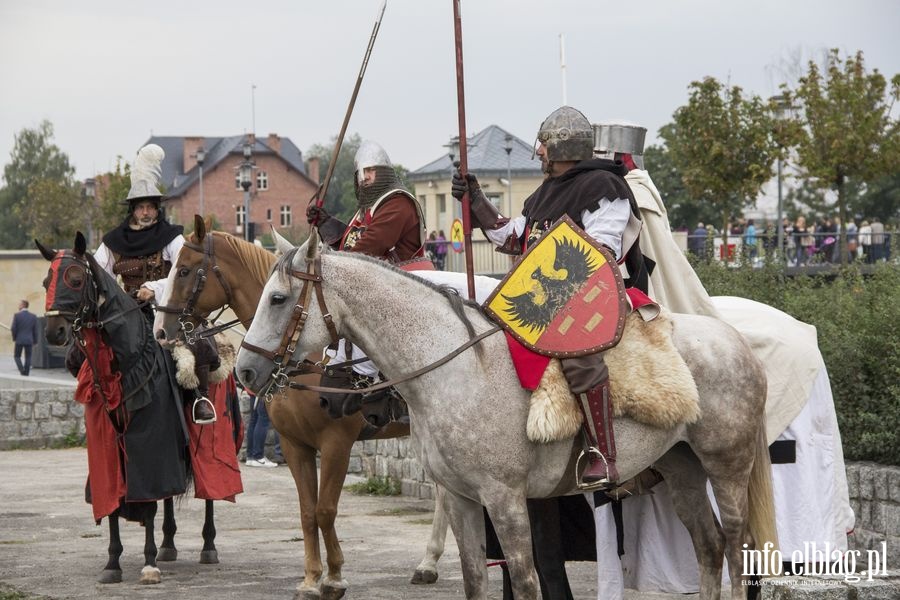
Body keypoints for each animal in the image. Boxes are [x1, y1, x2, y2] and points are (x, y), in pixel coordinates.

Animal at [37, 236, 225, 584]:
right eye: (46, 281)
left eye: (76, 279)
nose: (53, 332)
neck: (129, 364)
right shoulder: (109, 445)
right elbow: (115, 499)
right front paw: (113, 562)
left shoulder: (149, 441)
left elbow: (148, 498)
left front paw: (148, 563)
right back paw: (168, 545)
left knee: (209, 488)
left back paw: (207, 546)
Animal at [156, 217, 448, 600]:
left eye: (185, 270)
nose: (161, 332)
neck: (303, 353)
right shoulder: (295, 444)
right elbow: (308, 512)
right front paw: (311, 579)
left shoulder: (336, 443)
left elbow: (325, 510)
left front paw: (334, 577)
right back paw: (429, 563)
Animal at [236, 243, 776, 600]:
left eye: (278, 299)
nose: (244, 371)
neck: (457, 369)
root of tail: (737, 340)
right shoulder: (460, 498)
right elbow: (476, 580)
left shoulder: (505, 498)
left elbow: (525, 578)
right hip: (682, 466)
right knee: (708, 548)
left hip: (726, 464)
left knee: (737, 547)